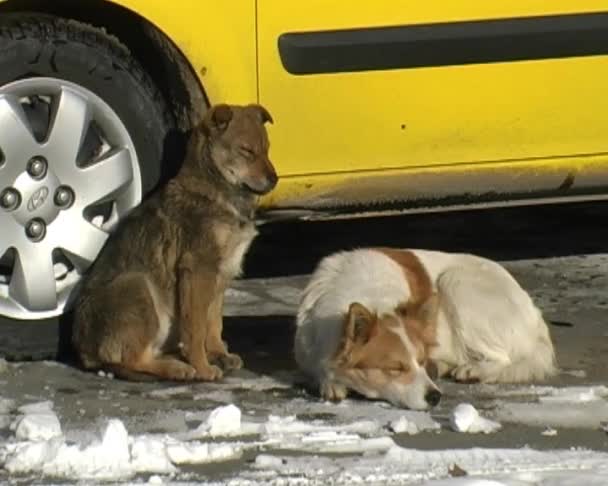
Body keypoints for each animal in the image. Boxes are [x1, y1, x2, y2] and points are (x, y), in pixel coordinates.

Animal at [71, 104, 278, 382]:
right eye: (246, 151)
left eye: (266, 148)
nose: (275, 179)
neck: (217, 191)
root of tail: (83, 351)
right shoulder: (197, 269)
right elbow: (196, 327)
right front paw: (203, 367)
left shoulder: (221, 272)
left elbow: (214, 322)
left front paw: (218, 354)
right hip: (137, 285)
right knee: (133, 358)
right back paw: (177, 368)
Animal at [294, 247, 556, 410]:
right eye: (396, 368)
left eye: (420, 361)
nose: (435, 397)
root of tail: (535, 314)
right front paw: (330, 381)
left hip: (455, 282)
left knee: (503, 358)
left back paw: (473, 369)